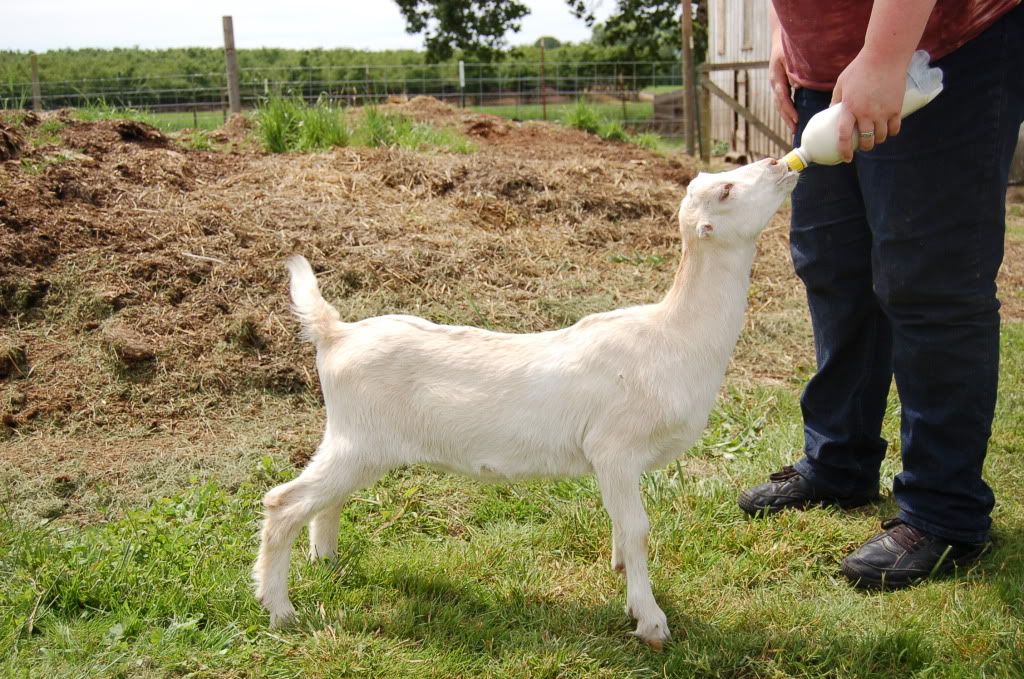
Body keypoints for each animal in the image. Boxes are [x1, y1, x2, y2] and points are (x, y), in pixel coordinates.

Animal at [253, 158, 798, 649]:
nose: (780, 163)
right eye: (726, 190)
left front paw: (621, 571)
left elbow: (622, 527)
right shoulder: (615, 449)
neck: (674, 336)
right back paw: (280, 611)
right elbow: (638, 528)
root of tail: (336, 334)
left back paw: (327, 562)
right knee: (282, 502)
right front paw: (650, 622)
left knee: (326, 501)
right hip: (359, 439)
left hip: (356, 443)